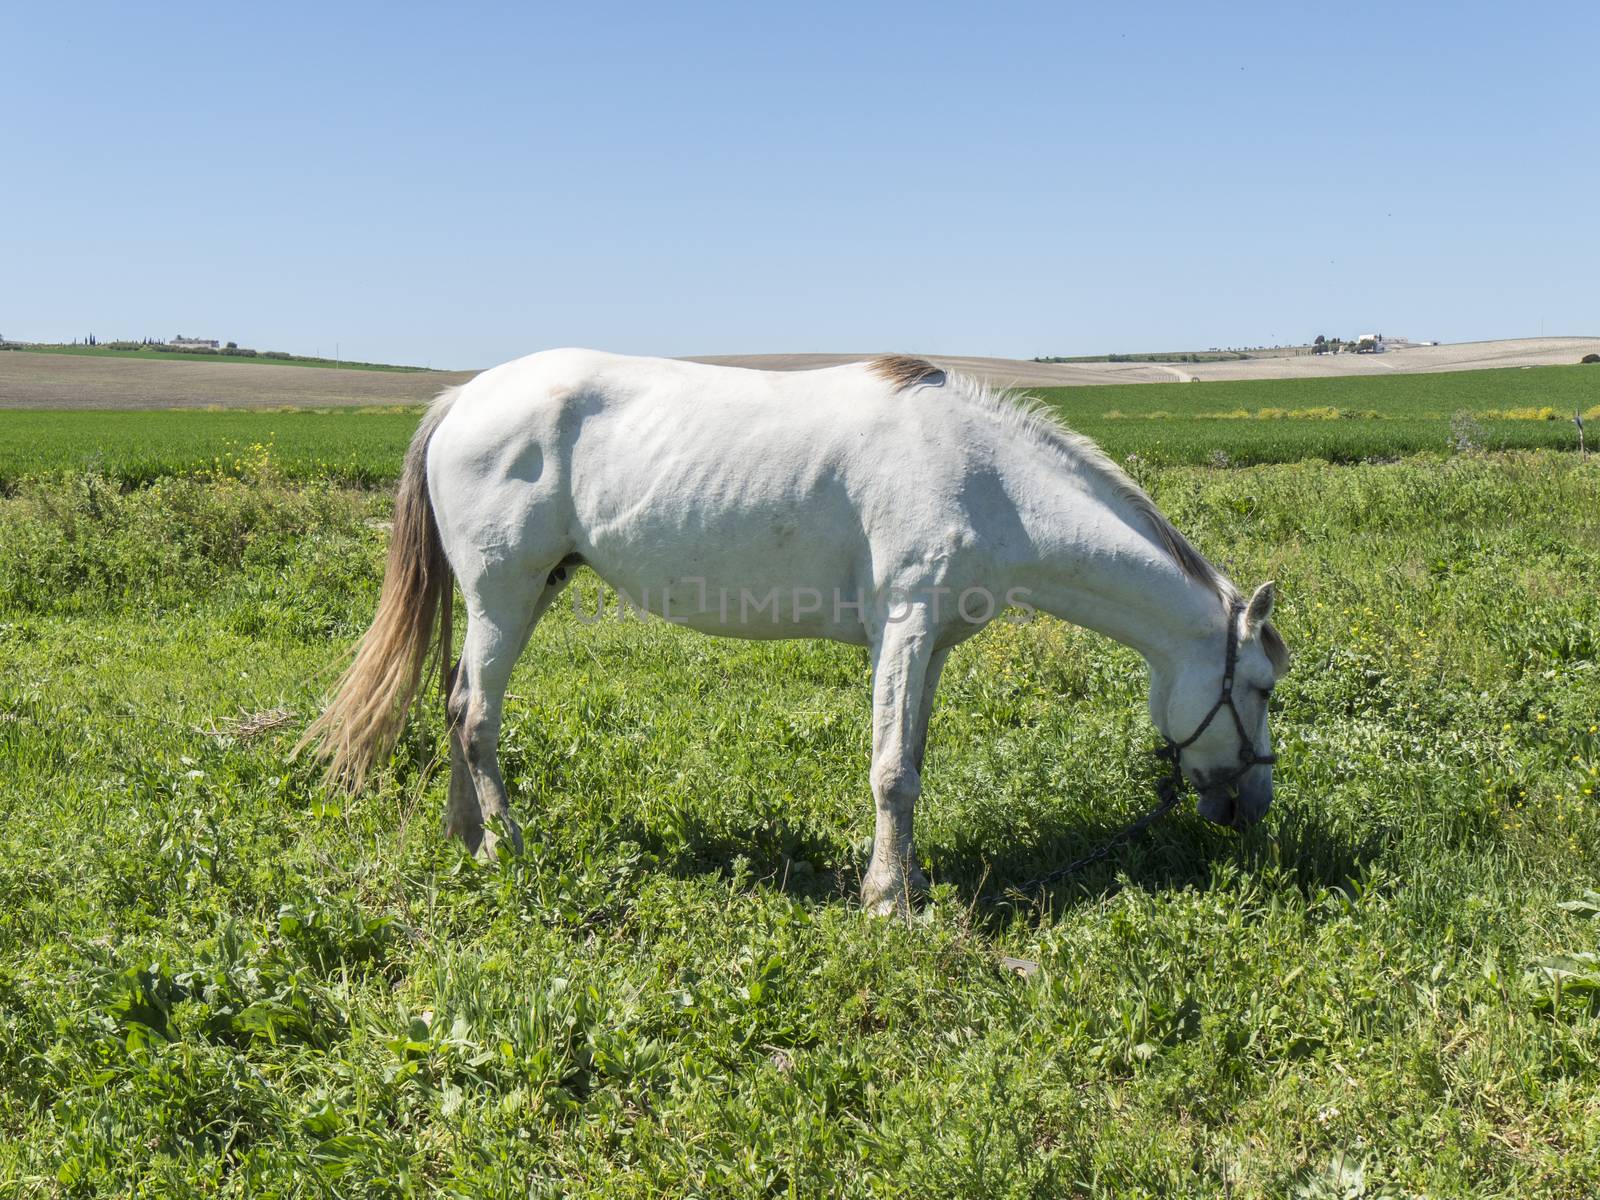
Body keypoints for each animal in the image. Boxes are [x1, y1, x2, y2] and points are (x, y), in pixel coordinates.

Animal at [300, 347, 1292, 908]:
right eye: (1262, 688)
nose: (1250, 807)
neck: (989, 479)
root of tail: (462, 400)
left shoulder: (928, 644)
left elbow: (911, 762)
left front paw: (910, 881)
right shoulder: (904, 625)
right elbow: (891, 772)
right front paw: (888, 902)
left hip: (520, 594)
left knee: (456, 702)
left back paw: (467, 840)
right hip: (505, 594)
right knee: (476, 717)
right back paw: (508, 849)